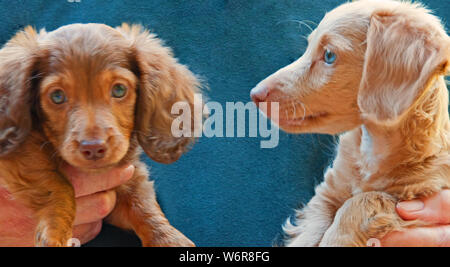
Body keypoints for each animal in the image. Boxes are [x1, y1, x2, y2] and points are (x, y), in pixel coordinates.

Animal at [251, 0, 450, 247]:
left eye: (329, 55)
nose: (254, 95)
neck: (371, 150)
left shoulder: (417, 195)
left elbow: (362, 201)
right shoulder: (327, 193)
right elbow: (309, 233)